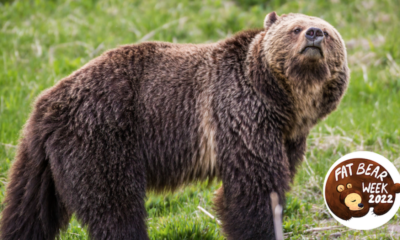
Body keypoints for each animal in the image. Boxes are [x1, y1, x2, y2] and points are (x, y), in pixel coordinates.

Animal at [0, 11, 348, 240]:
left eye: (327, 31)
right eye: (296, 28)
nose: (314, 34)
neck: (285, 101)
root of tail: (47, 101)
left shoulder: (287, 137)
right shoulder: (241, 115)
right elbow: (253, 189)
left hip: (40, 161)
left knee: (28, 211)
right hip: (103, 138)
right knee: (115, 207)